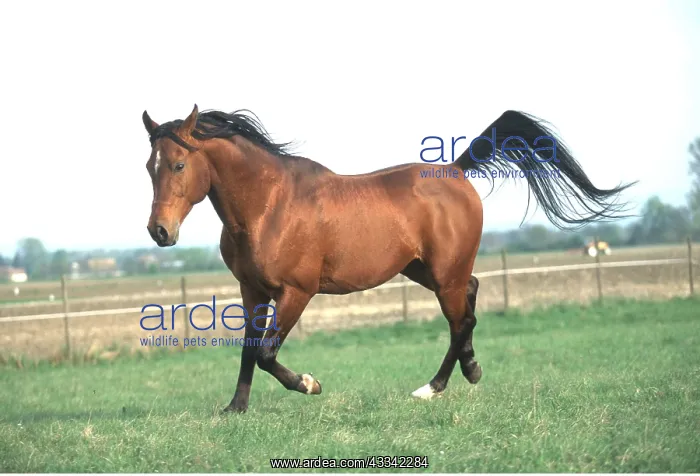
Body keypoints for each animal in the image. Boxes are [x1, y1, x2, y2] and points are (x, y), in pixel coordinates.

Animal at [142, 105, 634, 412]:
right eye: (150, 167)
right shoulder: (251, 291)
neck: (268, 205)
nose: (159, 232)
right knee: (471, 301)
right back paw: (471, 370)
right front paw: (236, 408)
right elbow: (247, 350)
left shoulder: (296, 292)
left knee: (460, 320)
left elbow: (265, 353)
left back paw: (433, 388)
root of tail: (455, 170)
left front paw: (309, 384)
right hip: (427, 271)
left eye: (179, 165)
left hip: (444, 275)